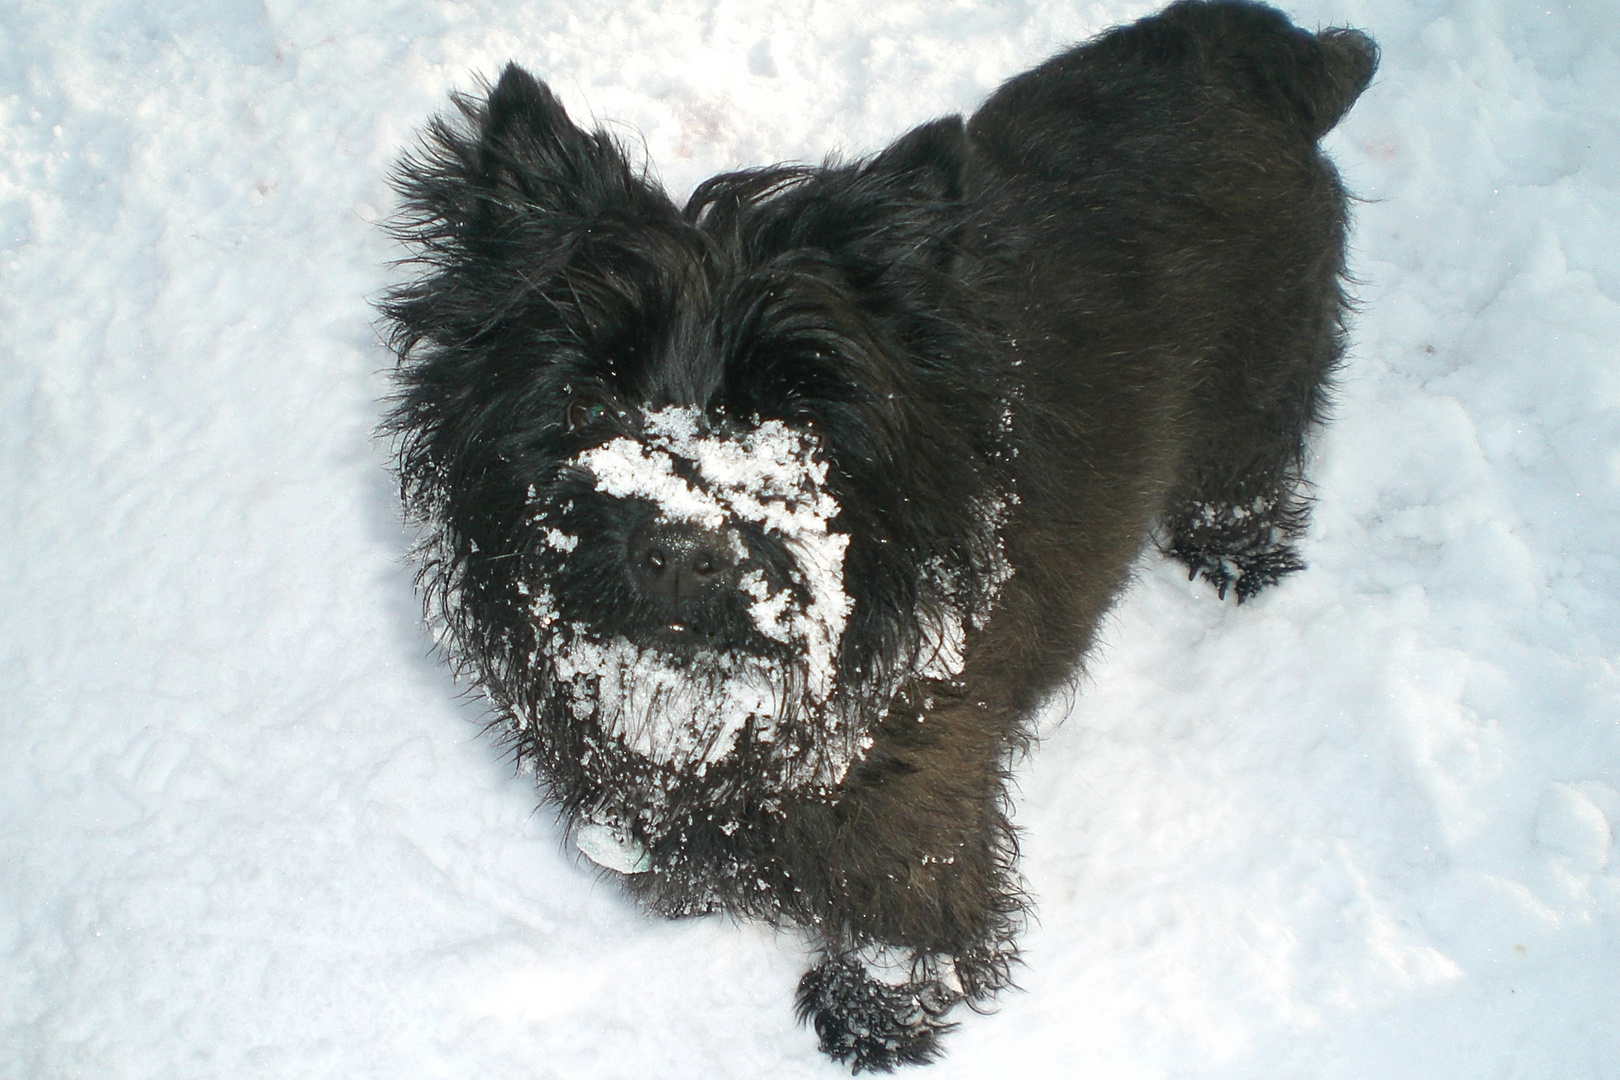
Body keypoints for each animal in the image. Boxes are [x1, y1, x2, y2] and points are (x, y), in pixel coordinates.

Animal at [382, 2, 1380, 1075]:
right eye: (587, 397)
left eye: (798, 417)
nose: (682, 551)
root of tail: (1261, 54)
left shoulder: (920, 785)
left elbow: (911, 901)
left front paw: (876, 1014)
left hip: (1261, 372)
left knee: (1253, 461)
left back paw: (1237, 555)